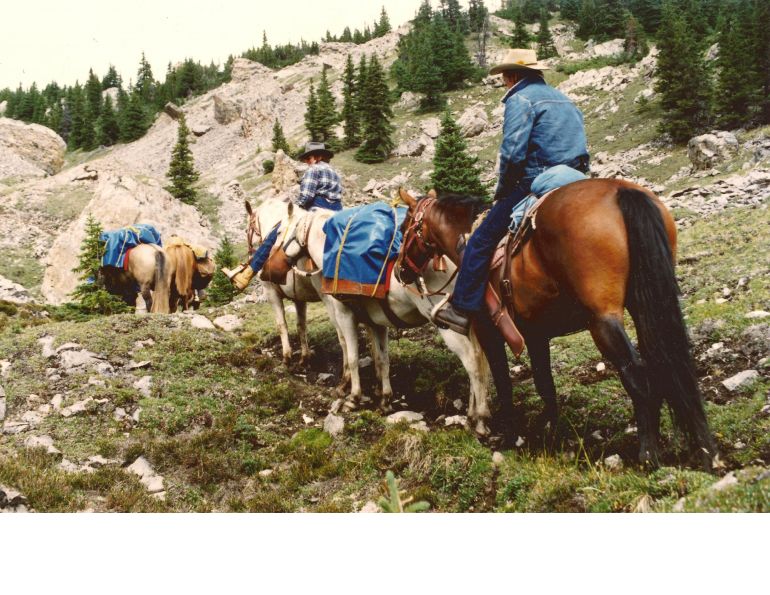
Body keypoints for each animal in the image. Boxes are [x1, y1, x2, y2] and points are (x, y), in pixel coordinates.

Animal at [244, 199, 322, 365]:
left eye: (247, 230)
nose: (250, 256)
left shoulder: (272, 293)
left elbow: (281, 324)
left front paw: (287, 357)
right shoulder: (299, 298)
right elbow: (301, 325)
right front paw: (305, 357)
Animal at [268, 207, 494, 435]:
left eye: (278, 233)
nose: (268, 269)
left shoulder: (345, 315)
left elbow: (353, 356)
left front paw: (353, 398)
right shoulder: (377, 322)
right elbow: (382, 360)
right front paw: (385, 399)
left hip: (448, 326)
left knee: (473, 363)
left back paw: (481, 420)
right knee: (478, 360)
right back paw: (471, 417)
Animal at [396, 183, 717, 469]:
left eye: (404, 227)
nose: (400, 271)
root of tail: (622, 191)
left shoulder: (490, 332)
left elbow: (503, 383)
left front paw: (508, 436)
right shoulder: (536, 334)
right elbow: (545, 384)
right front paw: (551, 435)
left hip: (603, 319)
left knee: (637, 372)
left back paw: (648, 455)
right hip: (645, 305)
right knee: (670, 360)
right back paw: (706, 451)